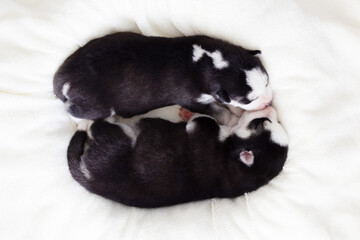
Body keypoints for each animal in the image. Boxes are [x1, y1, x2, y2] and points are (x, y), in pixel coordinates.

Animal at [53, 31, 272, 124]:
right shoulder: (191, 99)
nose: (269, 101)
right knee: (74, 111)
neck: (206, 61)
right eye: (248, 99)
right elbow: (220, 111)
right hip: (96, 105)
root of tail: (62, 79)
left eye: (268, 82)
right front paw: (235, 119)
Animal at [67, 107, 286, 208]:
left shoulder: (203, 128)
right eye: (264, 122)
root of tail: (89, 179)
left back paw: (91, 121)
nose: (271, 108)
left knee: (96, 127)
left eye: (259, 124)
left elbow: (203, 119)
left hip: (120, 139)